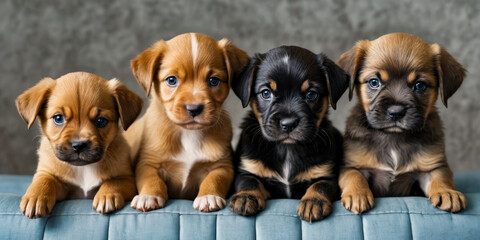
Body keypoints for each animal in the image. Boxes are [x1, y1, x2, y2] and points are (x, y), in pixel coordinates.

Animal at [17, 71, 144, 218]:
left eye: (101, 121)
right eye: (58, 118)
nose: (78, 145)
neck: (83, 169)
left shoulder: (128, 179)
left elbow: (113, 182)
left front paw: (107, 195)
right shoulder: (55, 181)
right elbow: (44, 180)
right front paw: (35, 197)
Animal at [125, 32, 249, 212]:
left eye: (213, 80)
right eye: (171, 80)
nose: (194, 108)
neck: (188, 133)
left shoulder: (222, 166)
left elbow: (214, 180)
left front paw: (208, 196)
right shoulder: (148, 163)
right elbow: (151, 179)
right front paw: (148, 196)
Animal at [230, 46, 348, 222]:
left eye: (311, 94)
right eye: (266, 93)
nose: (288, 123)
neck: (287, 149)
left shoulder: (327, 175)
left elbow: (320, 185)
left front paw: (314, 201)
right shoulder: (247, 169)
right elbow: (249, 181)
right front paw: (246, 197)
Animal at [336, 32, 466, 214]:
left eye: (420, 85)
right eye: (374, 82)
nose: (396, 112)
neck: (394, 137)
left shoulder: (431, 167)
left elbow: (440, 178)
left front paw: (447, 192)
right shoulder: (352, 165)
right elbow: (354, 176)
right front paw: (357, 193)